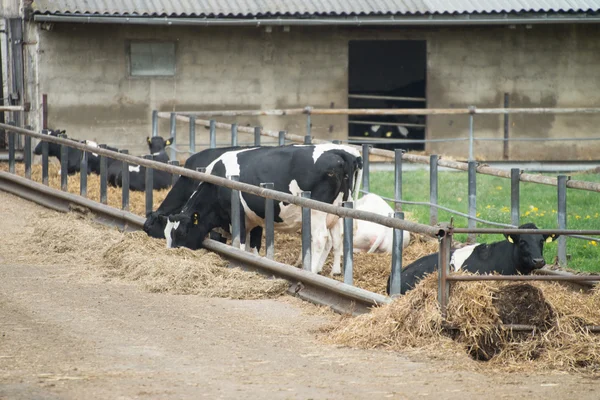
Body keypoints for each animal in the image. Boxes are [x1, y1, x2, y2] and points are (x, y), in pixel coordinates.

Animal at [162, 142, 364, 274]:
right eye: (166, 234)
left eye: (180, 233)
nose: (171, 253)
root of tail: (341, 154)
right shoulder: (253, 219)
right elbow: (252, 245)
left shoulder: (238, 215)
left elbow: (240, 243)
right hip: (336, 211)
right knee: (336, 240)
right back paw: (334, 271)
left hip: (317, 210)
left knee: (321, 239)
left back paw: (312, 271)